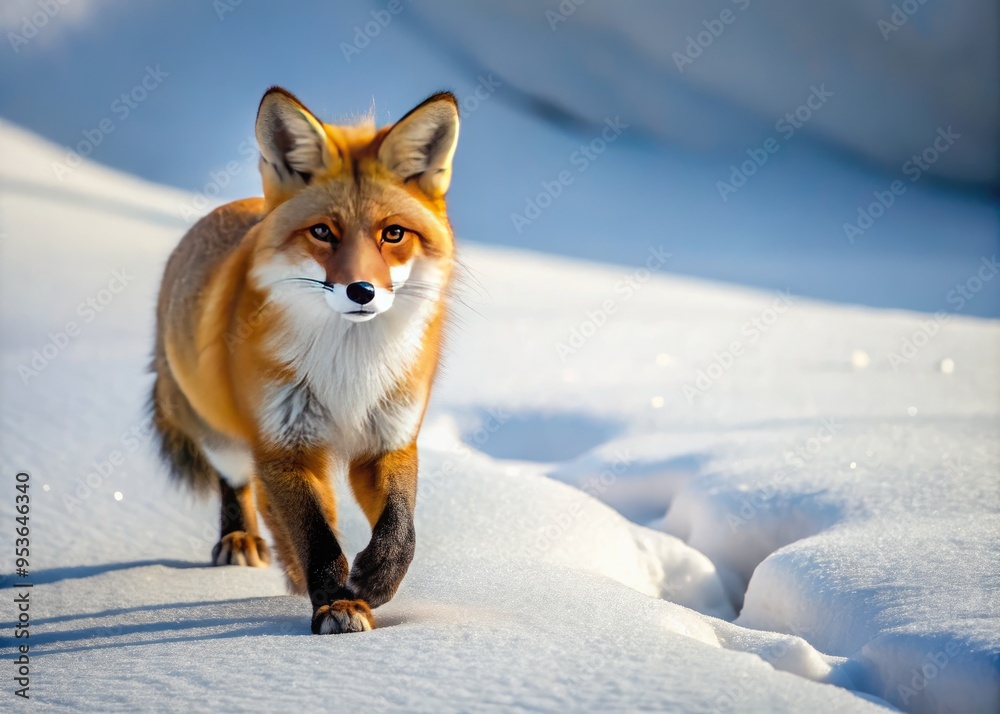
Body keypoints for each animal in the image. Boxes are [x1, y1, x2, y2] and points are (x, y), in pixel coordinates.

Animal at [150, 87, 460, 634]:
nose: (362, 291)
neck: (349, 371)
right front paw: (334, 603)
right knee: (241, 487)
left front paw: (372, 584)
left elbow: (400, 530)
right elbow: (317, 540)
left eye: (393, 234)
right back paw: (242, 540)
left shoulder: (388, 441)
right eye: (322, 232)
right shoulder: (284, 445)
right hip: (222, 435)